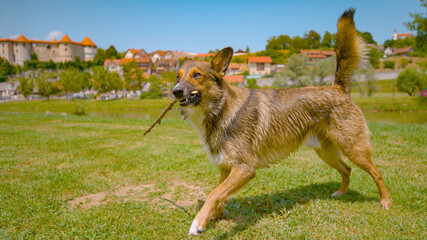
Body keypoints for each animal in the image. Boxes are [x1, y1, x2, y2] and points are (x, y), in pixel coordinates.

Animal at [172, 8, 392, 235]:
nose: (175, 91)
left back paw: (385, 201)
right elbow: (219, 195)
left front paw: (199, 222)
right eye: (177, 76)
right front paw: (212, 216)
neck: (221, 110)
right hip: (326, 153)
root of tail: (338, 88)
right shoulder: (226, 168)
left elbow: (214, 194)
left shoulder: (244, 169)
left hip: (354, 149)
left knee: (377, 172)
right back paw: (341, 193)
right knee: (347, 170)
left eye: (197, 75)